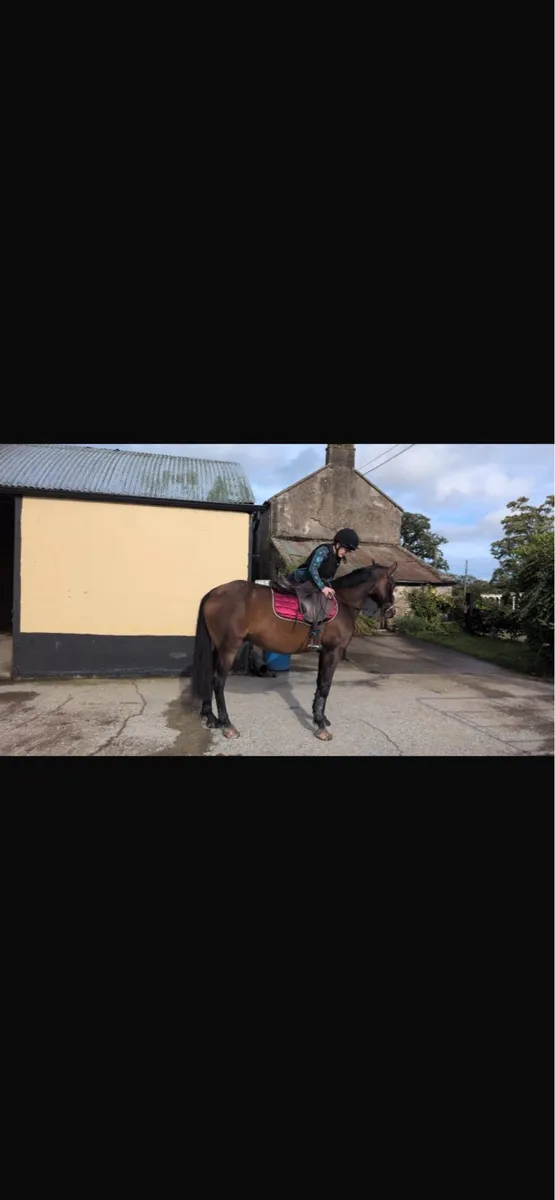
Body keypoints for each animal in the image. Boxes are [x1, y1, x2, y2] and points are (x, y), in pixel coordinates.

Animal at [191, 562, 397, 743]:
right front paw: (321, 727)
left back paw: (210, 717)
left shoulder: (323, 652)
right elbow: (325, 685)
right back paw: (227, 725)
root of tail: (213, 593)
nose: (391, 611)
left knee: (209, 677)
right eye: (392, 584)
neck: (343, 602)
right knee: (218, 682)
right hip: (228, 648)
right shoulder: (333, 652)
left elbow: (319, 683)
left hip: (216, 648)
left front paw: (319, 717)